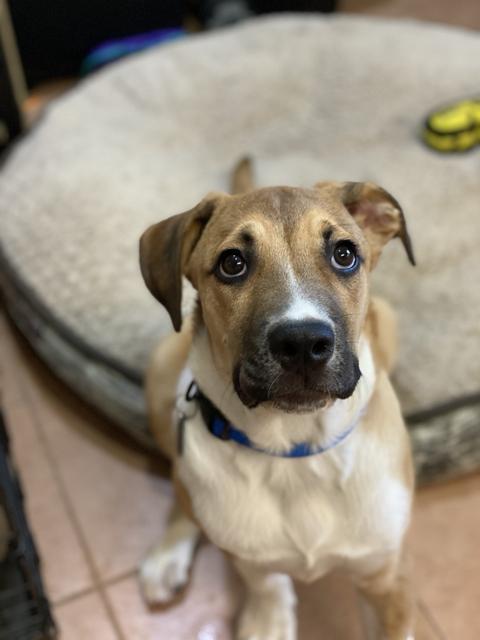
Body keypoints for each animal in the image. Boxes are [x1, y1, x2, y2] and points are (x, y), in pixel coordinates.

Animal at [138, 159, 417, 640]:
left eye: (344, 254)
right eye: (232, 263)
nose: (303, 343)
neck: (296, 451)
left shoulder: (385, 576)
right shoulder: (248, 556)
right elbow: (265, 582)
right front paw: (270, 617)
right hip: (159, 377)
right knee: (180, 485)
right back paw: (167, 555)